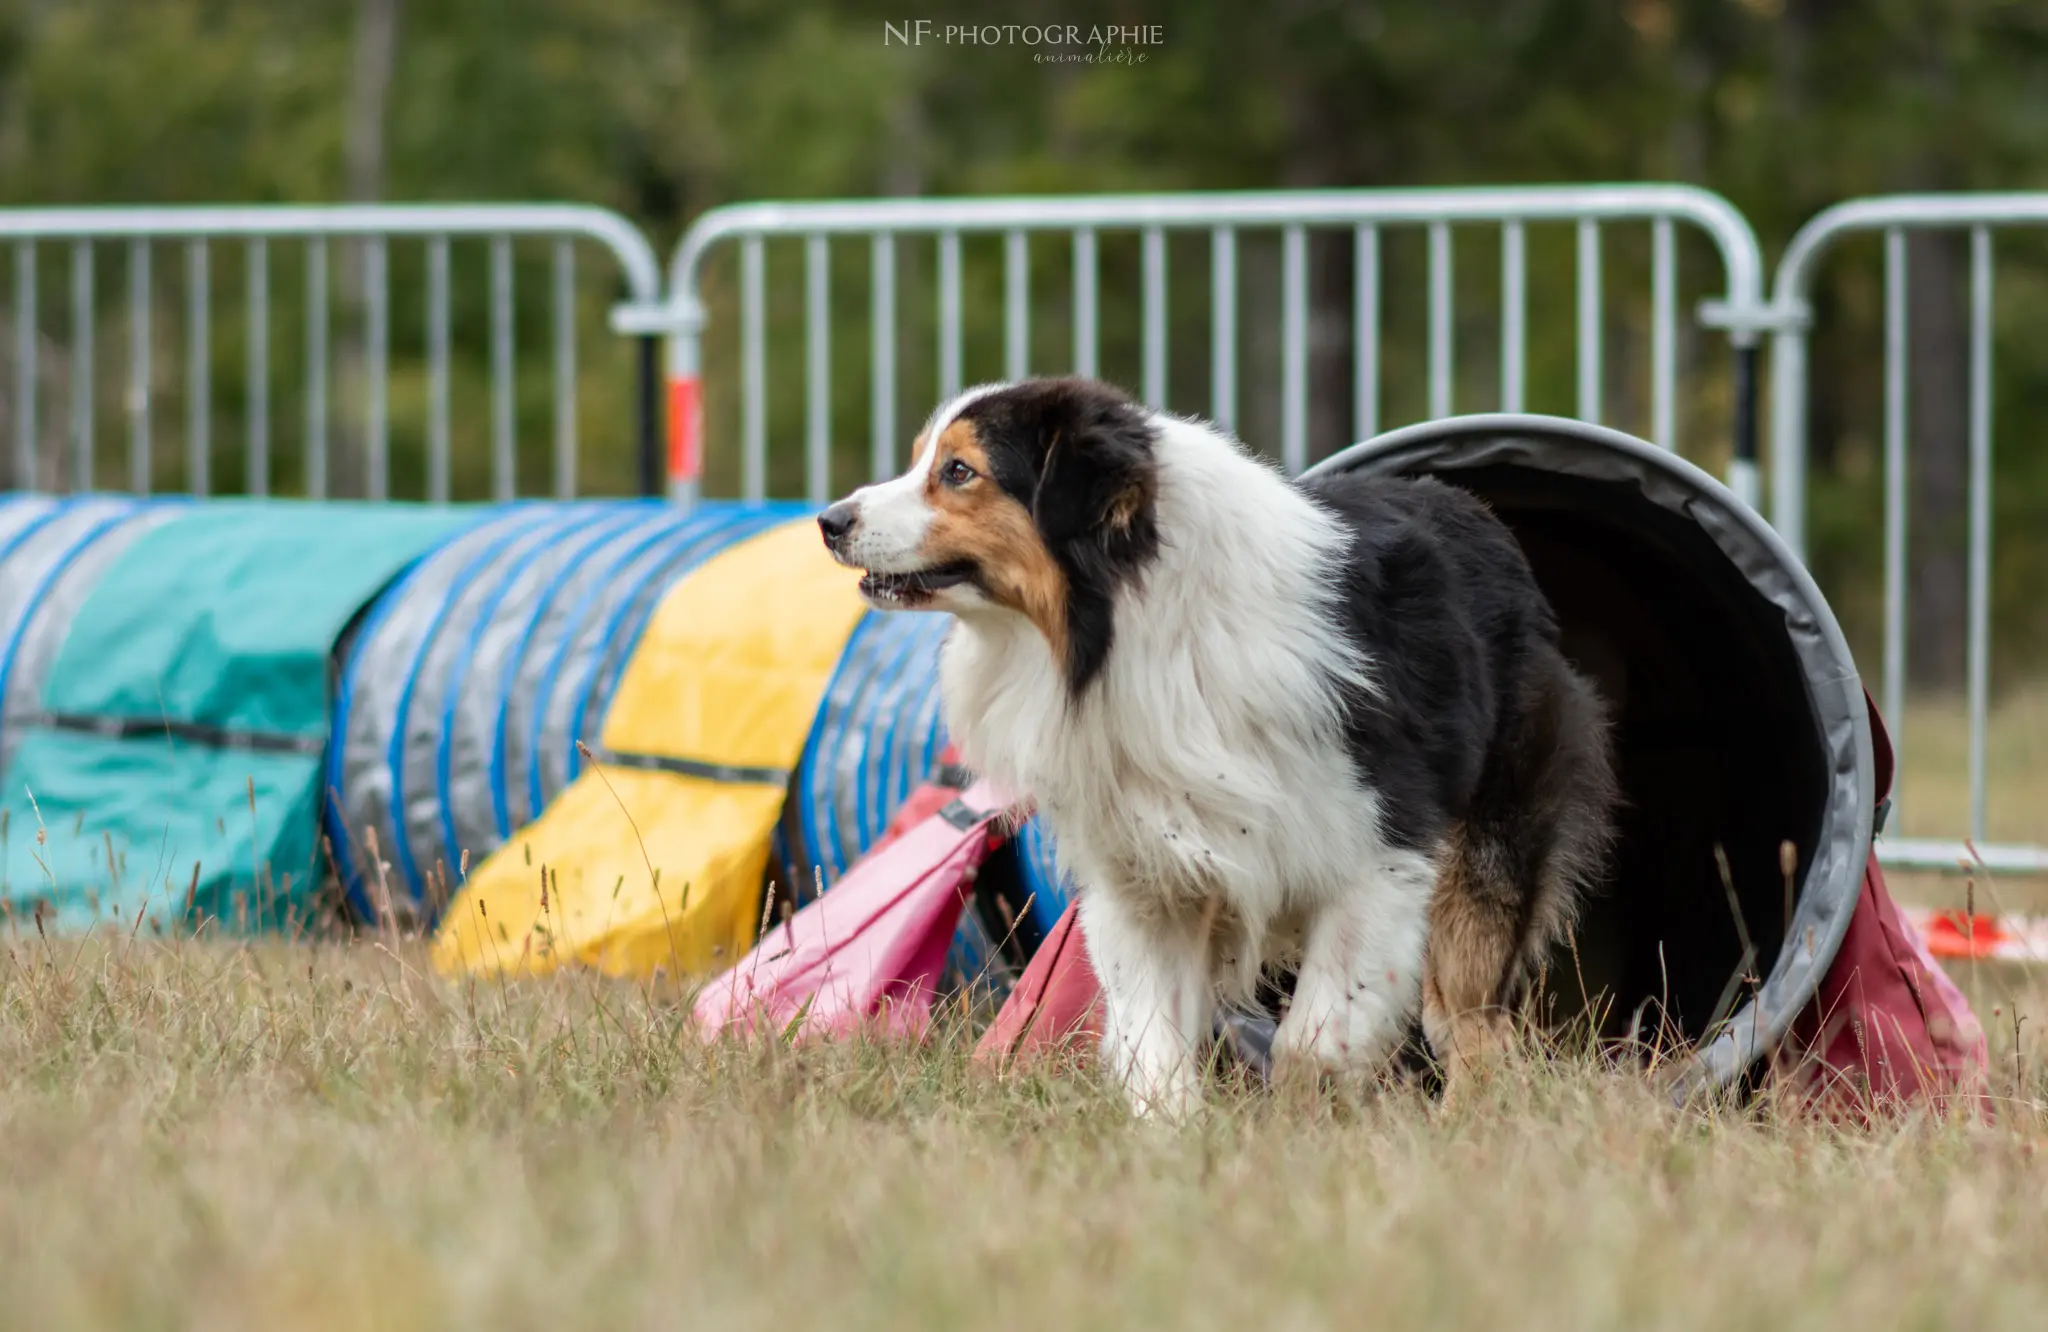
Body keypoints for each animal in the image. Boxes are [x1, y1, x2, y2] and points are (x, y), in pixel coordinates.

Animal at [815, 377, 1613, 1106]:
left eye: (959, 471)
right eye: (921, 460)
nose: (829, 520)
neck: (1127, 625)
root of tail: (1484, 519)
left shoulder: (1379, 857)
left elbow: (1316, 1042)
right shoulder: (1147, 873)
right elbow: (1152, 1044)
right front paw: (1177, 1142)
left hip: (1482, 859)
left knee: (1475, 1025)